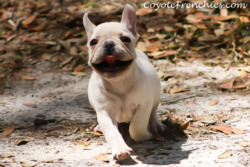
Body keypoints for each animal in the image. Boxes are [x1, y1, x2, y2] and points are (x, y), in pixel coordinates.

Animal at [83, 3, 166, 160]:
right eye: (93, 42)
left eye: (125, 39)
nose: (109, 44)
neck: (118, 81)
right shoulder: (105, 112)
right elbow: (111, 132)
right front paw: (120, 149)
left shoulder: (144, 105)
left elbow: (136, 127)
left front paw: (145, 135)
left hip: (156, 97)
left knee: (153, 113)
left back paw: (155, 125)